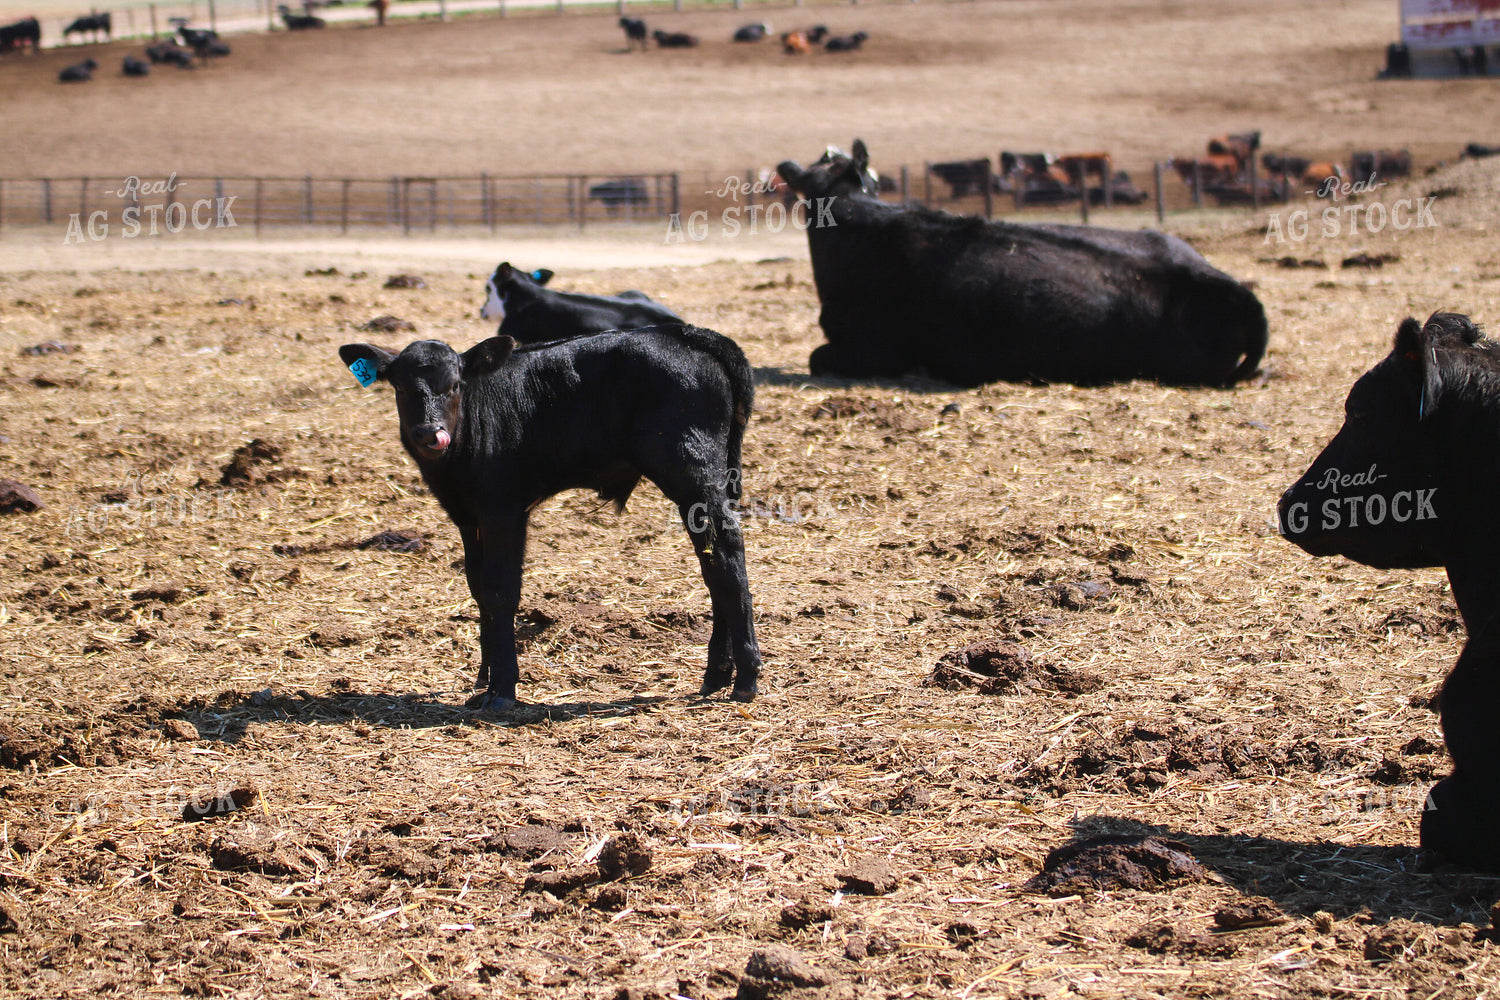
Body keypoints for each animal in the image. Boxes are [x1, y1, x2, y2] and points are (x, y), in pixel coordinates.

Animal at [338, 327, 762, 710]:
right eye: (400, 387)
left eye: (455, 385)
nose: (430, 433)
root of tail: (687, 334)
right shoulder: (467, 516)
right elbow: (478, 588)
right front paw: (483, 679)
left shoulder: (504, 510)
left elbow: (501, 591)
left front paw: (502, 690)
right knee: (712, 563)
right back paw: (717, 674)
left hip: (691, 472)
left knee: (726, 556)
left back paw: (746, 677)